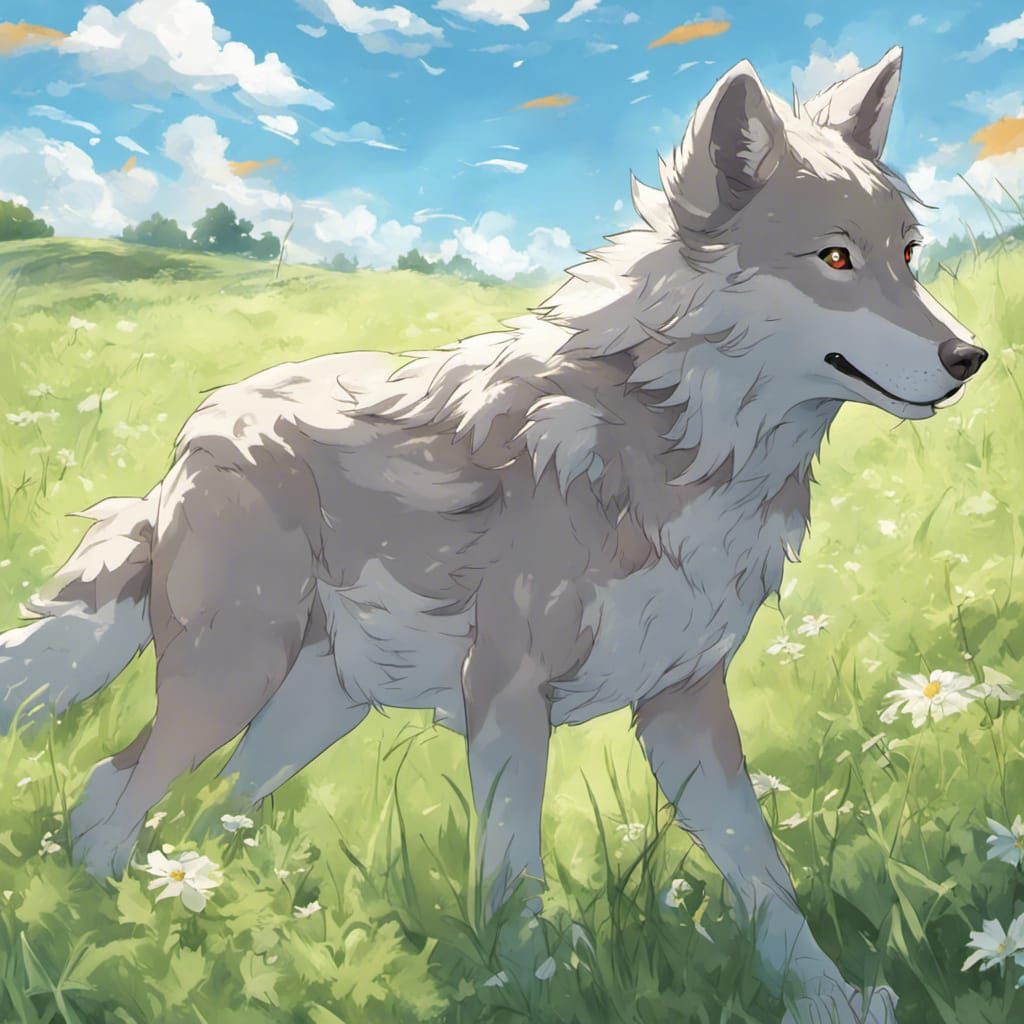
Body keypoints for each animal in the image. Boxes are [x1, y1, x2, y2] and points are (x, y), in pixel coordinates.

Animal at [0, 46, 985, 1023]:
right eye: (835, 258)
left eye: (908, 255)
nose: (970, 357)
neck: (674, 443)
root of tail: (199, 430)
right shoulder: (508, 691)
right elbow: (515, 872)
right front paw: (531, 984)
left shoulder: (685, 706)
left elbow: (765, 880)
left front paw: (829, 999)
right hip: (235, 675)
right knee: (114, 796)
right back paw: (129, 942)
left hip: (307, 711)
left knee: (194, 811)